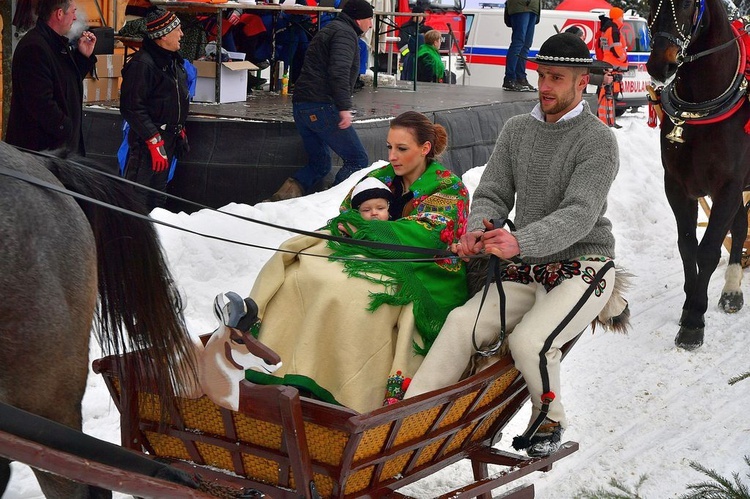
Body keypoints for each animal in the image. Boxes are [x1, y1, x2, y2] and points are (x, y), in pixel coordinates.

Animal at [648, 0, 750, 350]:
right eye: (650, 3)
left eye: (688, 3)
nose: (659, 65)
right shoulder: (678, 186)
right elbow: (688, 246)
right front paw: (689, 305)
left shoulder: (729, 187)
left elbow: (707, 250)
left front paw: (694, 322)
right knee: (741, 226)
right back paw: (732, 289)